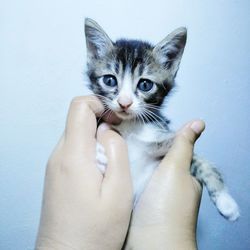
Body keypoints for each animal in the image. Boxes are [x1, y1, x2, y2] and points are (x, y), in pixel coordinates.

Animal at [84, 18, 240, 221]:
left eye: (145, 84)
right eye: (110, 80)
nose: (124, 103)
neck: (131, 125)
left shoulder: (161, 142)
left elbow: (202, 162)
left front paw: (226, 201)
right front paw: (99, 153)